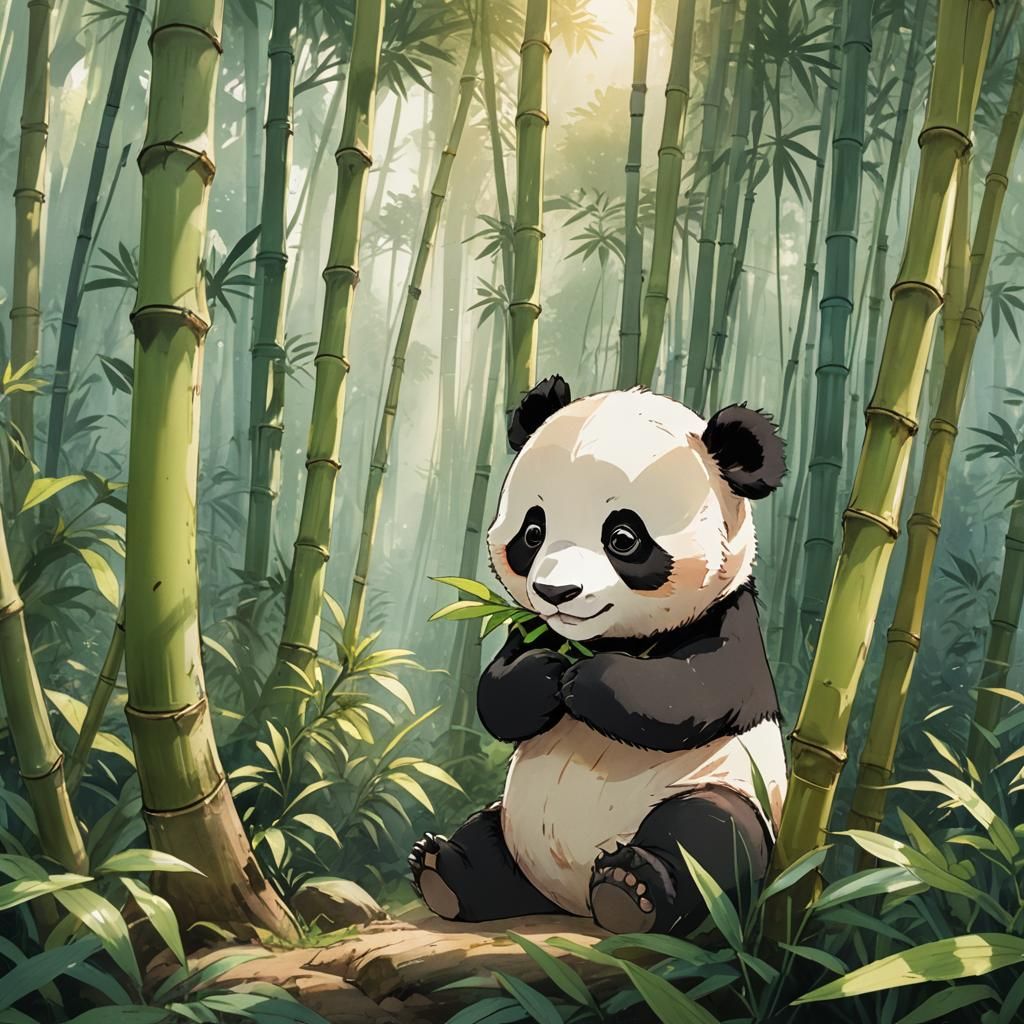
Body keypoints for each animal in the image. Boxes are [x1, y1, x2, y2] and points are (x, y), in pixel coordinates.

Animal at [409, 377, 788, 935]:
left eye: (623, 538)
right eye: (533, 532)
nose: (556, 592)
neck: (606, 637)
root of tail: (568, 901)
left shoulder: (732, 619)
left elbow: (694, 693)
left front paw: (584, 682)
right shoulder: (532, 627)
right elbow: (495, 694)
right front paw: (544, 678)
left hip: (723, 786)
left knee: (710, 835)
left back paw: (632, 890)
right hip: (512, 819)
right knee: (485, 836)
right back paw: (443, 870)